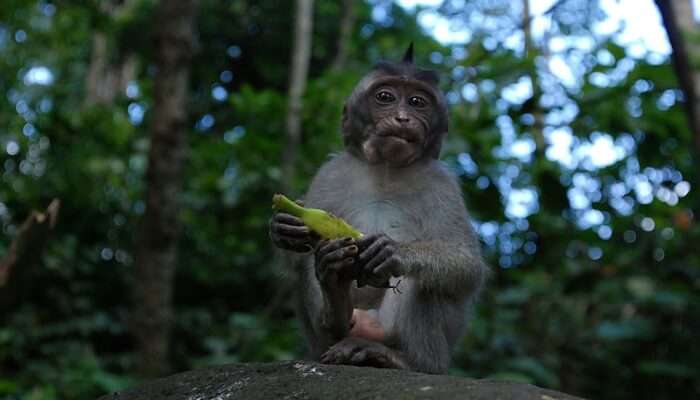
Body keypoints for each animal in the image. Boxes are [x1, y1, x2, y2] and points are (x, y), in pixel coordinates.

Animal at [268, 44, 486, 376]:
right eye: (385, 97)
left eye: (417, 102)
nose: (402, 118)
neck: (387, 169)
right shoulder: (331, 173)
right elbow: (296, 255)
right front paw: (285, 227)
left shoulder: (442, 184)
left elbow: (466, 263)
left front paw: (394, 250)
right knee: (311, 265)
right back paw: (335, 306)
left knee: (426, 281)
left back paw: (405, 360)